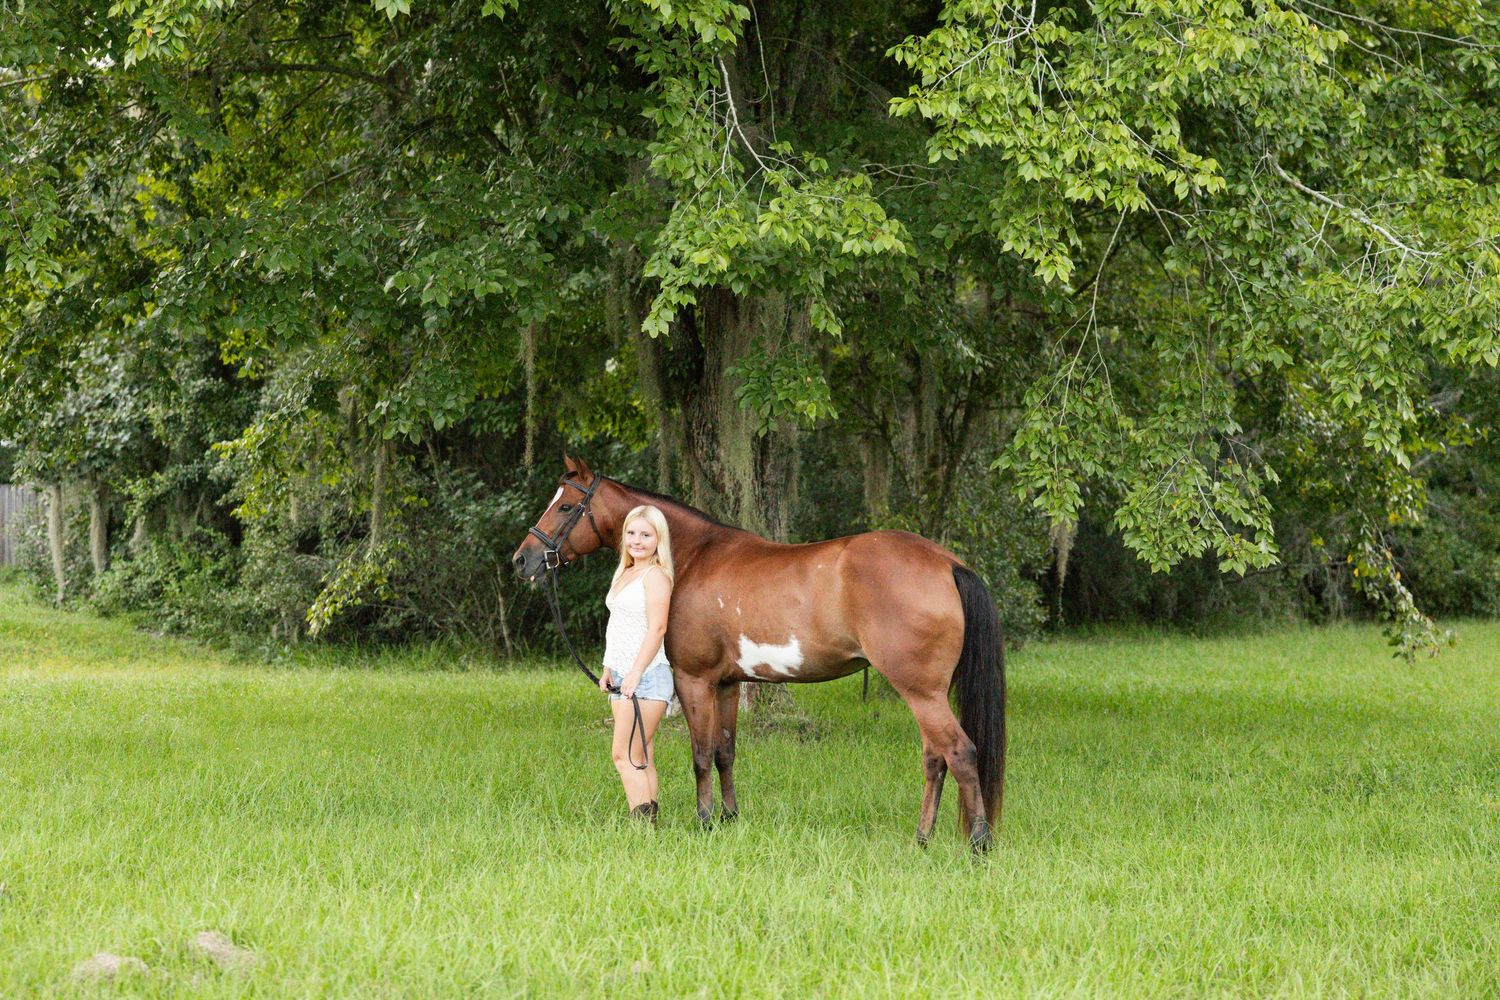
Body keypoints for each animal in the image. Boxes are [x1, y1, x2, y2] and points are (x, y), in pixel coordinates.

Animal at [512, 455, 1006, 851]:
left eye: (566, 506)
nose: (523, 560)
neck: (694, 557)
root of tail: (948, 563)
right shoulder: (729, 683)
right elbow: (725, 752)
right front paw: (730, 817)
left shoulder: (694, 680)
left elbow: (700, 753)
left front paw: (705, 821)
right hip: (928, 693)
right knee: (935, 759)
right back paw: (922, 838)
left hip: (921, 691)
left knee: (961, 753)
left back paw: (978, 845)